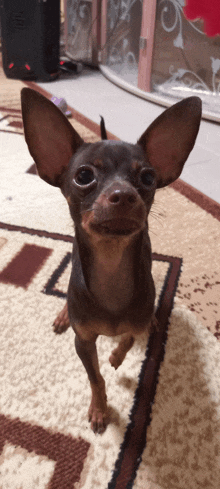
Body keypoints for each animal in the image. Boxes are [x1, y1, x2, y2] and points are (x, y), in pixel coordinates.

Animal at [20, 88, 201, 430]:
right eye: (83, 176)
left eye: (148, 177)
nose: (124, 194)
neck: (111, 264)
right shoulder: (83, 342)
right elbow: (95, 378)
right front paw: (99, 409)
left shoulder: (134, 322)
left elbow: (129, 336)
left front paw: (117, 356)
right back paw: (64, 315)